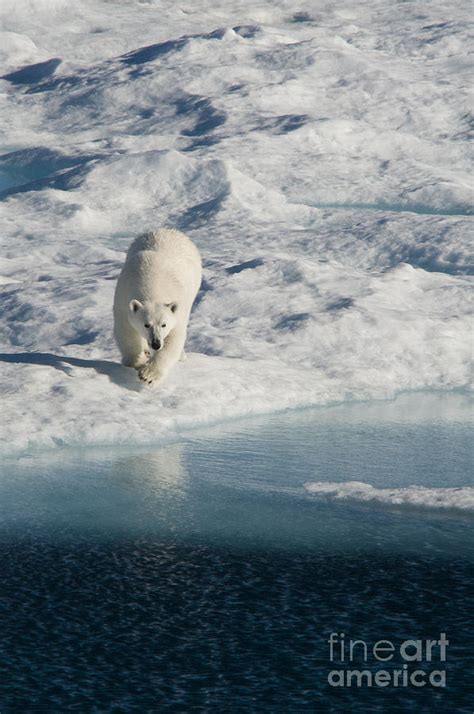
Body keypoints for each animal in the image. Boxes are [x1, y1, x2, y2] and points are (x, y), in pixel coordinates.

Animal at [115, 228, 204, 384]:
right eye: (146, 324)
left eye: (164, 324)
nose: (156, 344)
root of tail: (168, 230)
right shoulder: (123, 297)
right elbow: (126, 330)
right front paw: (137, 361)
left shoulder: (178, 307)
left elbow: (173, 338)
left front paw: (148, 374)